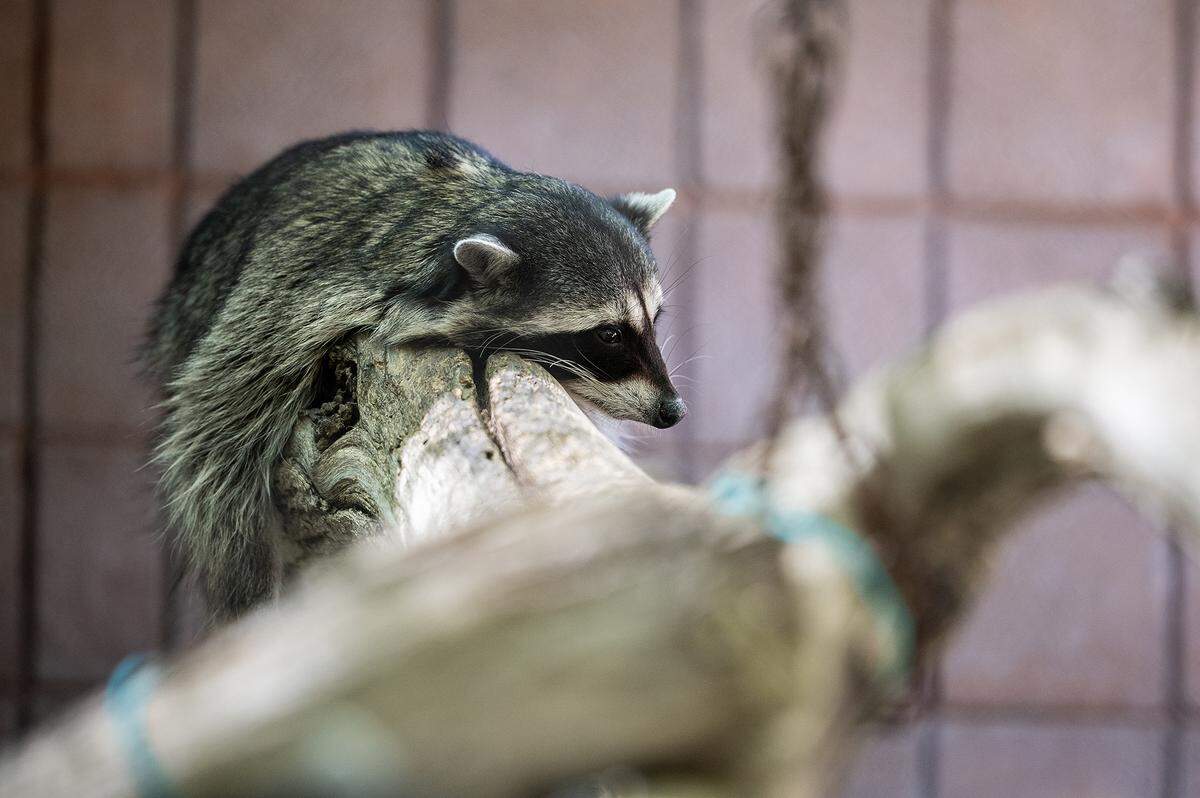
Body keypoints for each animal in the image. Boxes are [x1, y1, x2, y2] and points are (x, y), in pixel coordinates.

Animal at [145, 130, 685, 620]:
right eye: (609, 334)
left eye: (653, 320)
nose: (673, 410)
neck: (464, 204)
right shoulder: (293, 291)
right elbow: (214, 430)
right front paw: (245, 584)